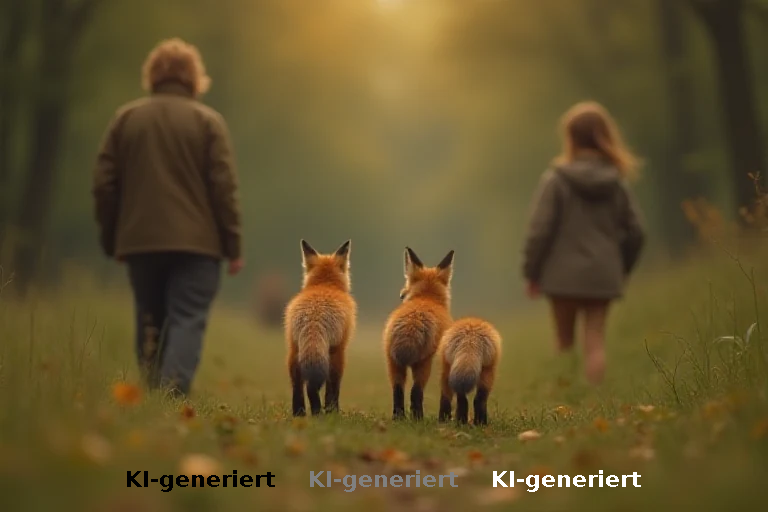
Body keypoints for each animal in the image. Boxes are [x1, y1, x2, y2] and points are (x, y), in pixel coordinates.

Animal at [284, 239, 357, 417]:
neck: (324, 284)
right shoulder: (340, 350)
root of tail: (314, 318)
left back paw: (300, 414)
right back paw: (322, 414)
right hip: (332, 357)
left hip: (294, 354)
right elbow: (332, 390)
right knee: (315, 388)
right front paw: (333, 412)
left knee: (298, 388)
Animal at [383, 247, 454, 420]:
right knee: (416, 392)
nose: (401, 294)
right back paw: (418, 419)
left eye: (403, 293)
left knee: (398, 391)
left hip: (392, 363)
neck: (426, 297)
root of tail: (412, 323)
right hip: (423, 364)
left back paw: (399, 419)